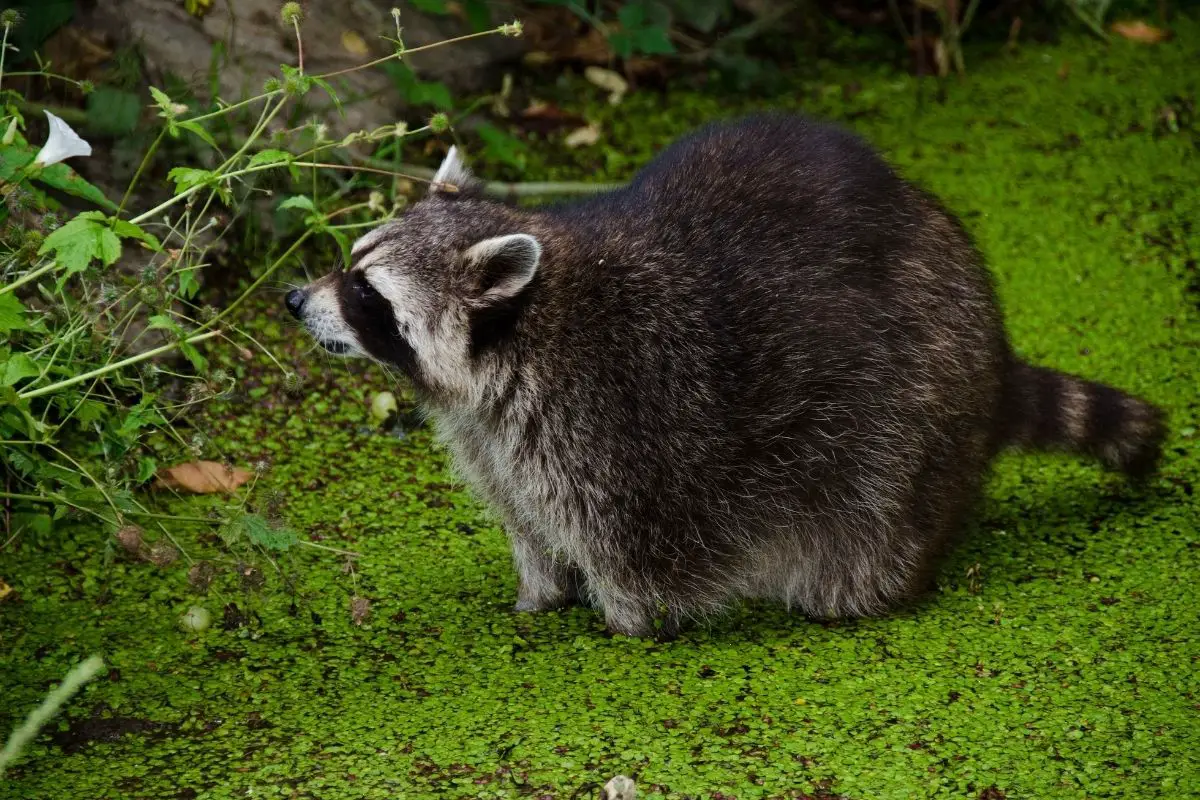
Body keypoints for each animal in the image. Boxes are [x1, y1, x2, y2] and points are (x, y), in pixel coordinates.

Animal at [285, 110, 1166, 638]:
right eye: (349, 262)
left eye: (366, 294)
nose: (294, 299)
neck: (513, 344)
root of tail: (989, 342)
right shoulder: (494, 441)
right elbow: (526, 522)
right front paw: (539, 594)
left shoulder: (608, 424)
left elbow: (634, 553)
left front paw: (625, 622)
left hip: (912, 397)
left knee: (870, 525)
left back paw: (853, 588)